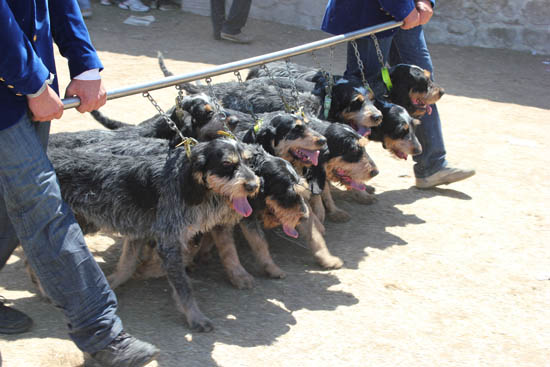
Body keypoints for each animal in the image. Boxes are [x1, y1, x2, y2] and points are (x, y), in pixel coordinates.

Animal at [47, 139, 260, 334]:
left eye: (249, 161)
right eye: (227, 164)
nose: (254, 185)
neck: (184, 182)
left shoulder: (138, 231)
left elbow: (127, 265)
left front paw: (113, 282)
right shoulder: (168, 242)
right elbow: (184, 287)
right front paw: (195, 317)